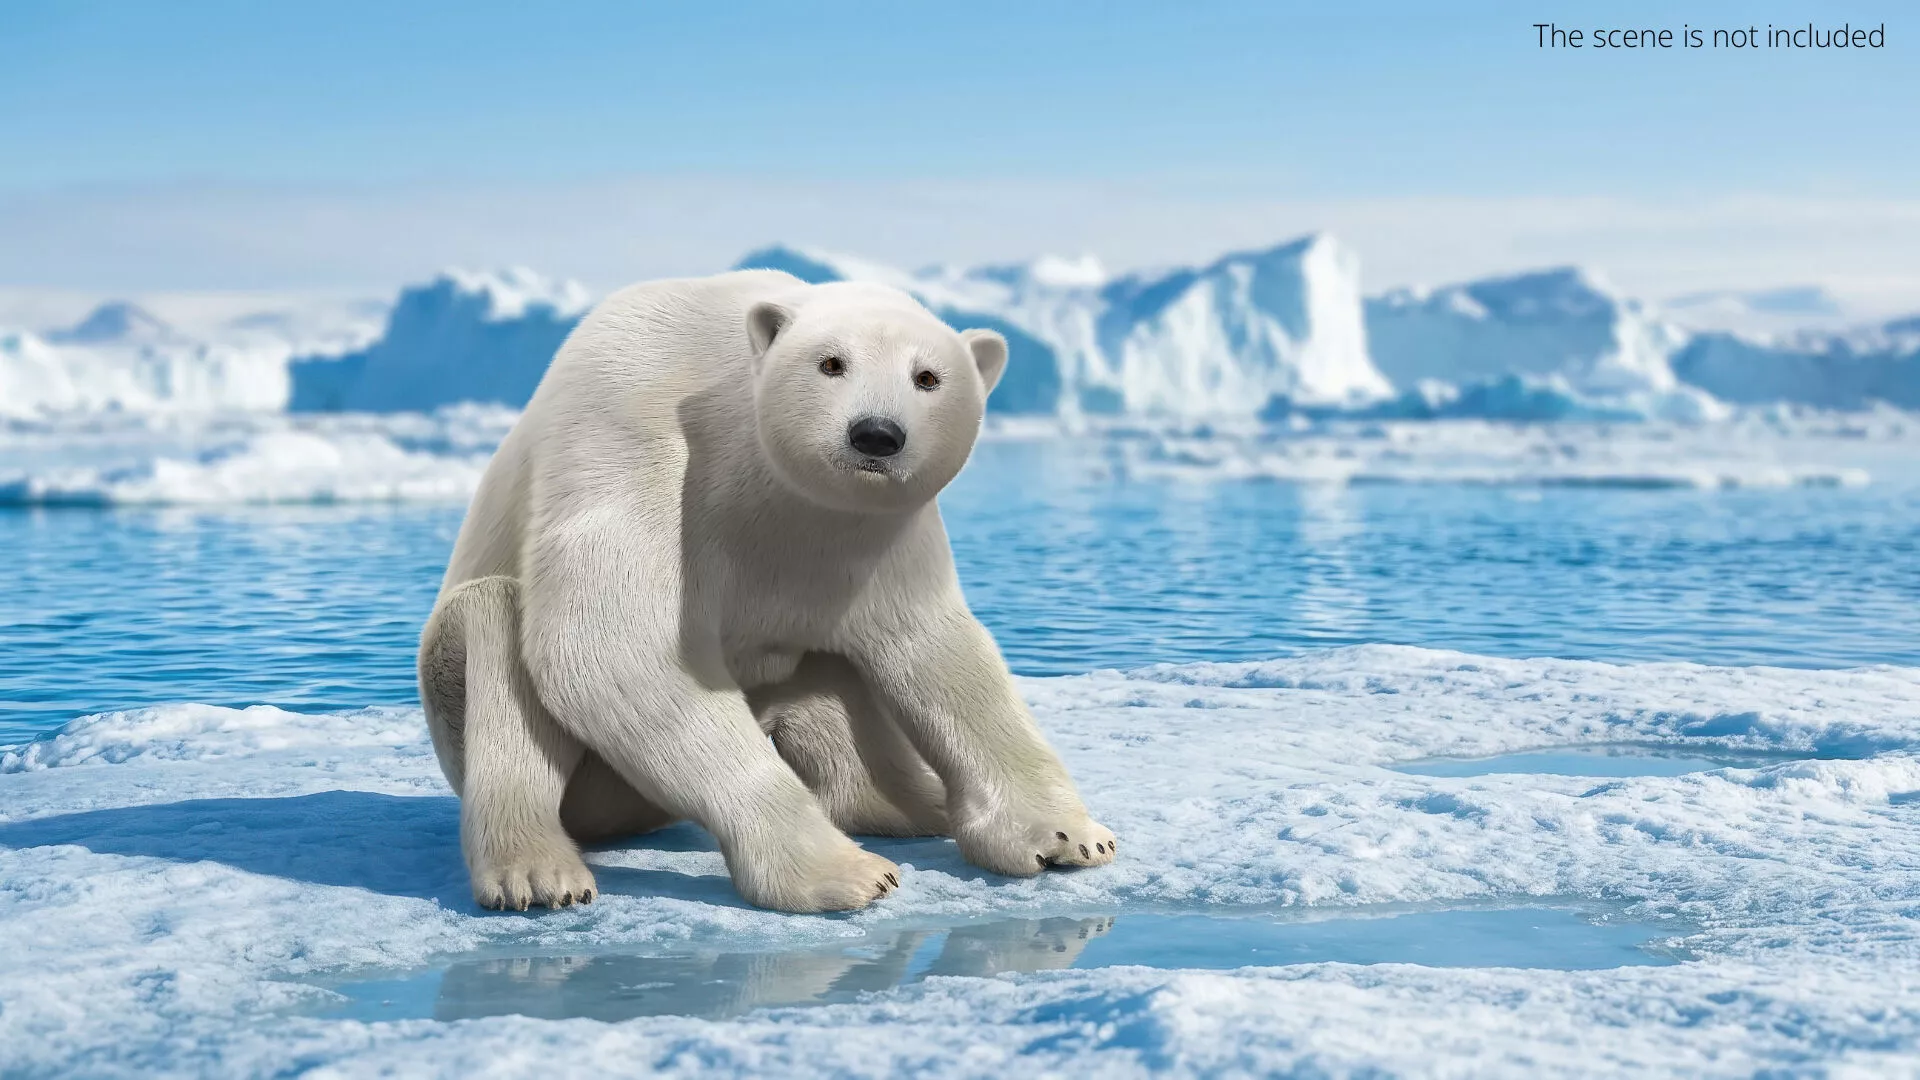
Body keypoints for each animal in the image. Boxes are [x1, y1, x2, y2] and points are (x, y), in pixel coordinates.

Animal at [418, 269, 1115, 913]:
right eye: (831, 362)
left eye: (928, 377)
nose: (876, 434)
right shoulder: (635, 430)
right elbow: (610, 645)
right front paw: (847, 874)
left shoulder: (876, 533)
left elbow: (936, 651)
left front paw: (1067, 837)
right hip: (525, 748)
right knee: (496, 618)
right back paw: (540, 872)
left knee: (829, 677)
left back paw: (912, 803)